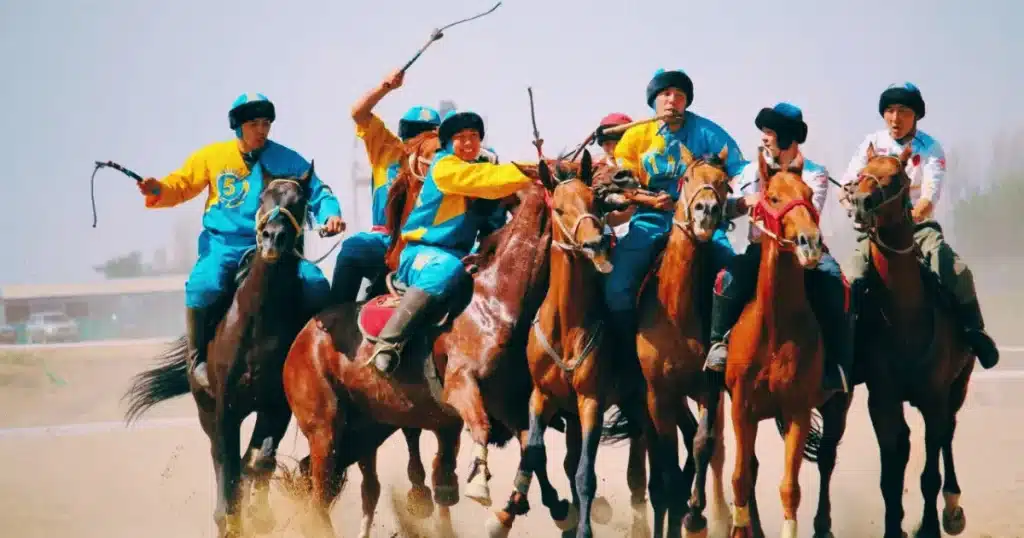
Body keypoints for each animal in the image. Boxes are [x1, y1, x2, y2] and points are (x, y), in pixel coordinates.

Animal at [122, 162, 327, 536]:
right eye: (262, 197)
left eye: (300, 201)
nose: (272, 237)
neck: (260, 321)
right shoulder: (225, 409)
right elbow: (229, 468)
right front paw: (233, 517)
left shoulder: (276, 406)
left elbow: (259, 460)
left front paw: (261, 515)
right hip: (206, 409)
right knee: (223, 459)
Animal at [280, 159, 585, 536]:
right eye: (563, 204)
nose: (600, 238)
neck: (497, 300)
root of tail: (305, 336)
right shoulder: (462, 387)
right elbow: (480, 427)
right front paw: (480, 484)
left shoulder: (509, 404)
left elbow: (533, 449)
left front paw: (553, 507)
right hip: (325, 427)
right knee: (319, 495)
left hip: (366, 427)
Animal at [729, 149, 856, 536]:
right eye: (772, 198)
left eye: (810, 195)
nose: (809, 242)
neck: (774, 332)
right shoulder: (741, 408)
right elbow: (740, 477)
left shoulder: (798, 409)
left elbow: (790, 488)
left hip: (837, 406)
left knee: (827, 457)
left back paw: (824, 525)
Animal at [843, 142, 970, 536]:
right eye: (862, 171)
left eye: (896, 177)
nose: (861, 202)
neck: (904, 318)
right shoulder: (882, 400)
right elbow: (890, 473)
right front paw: (892, 526)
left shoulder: (934, 398)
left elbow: (930, 472)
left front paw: (928, 526)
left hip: (959, 386)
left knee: (948, 435)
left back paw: (953, 507)